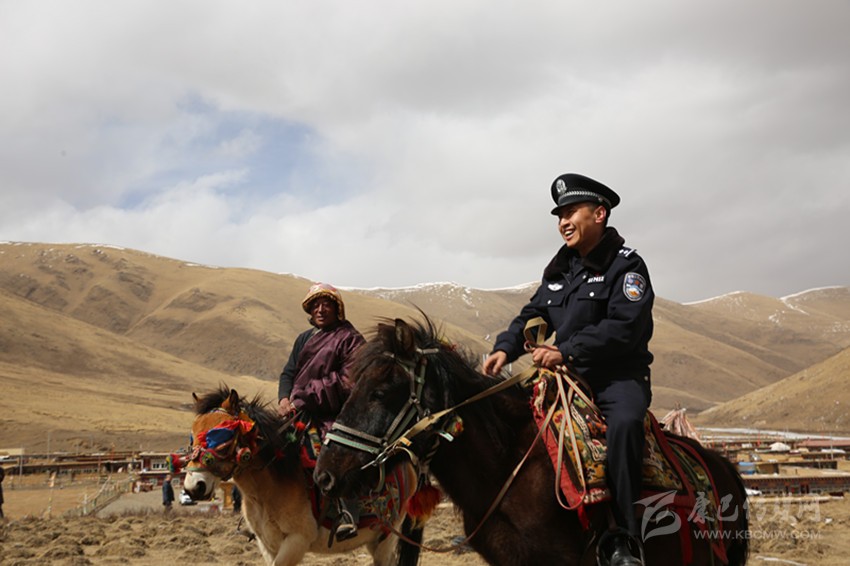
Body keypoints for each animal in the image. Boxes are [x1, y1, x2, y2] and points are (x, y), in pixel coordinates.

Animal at [174, 386, 424, 566]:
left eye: (221, 439)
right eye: (193, 435)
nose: (194, 486)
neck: (267, 489)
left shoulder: (296, 540)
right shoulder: (267, 544)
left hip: (386, 536)